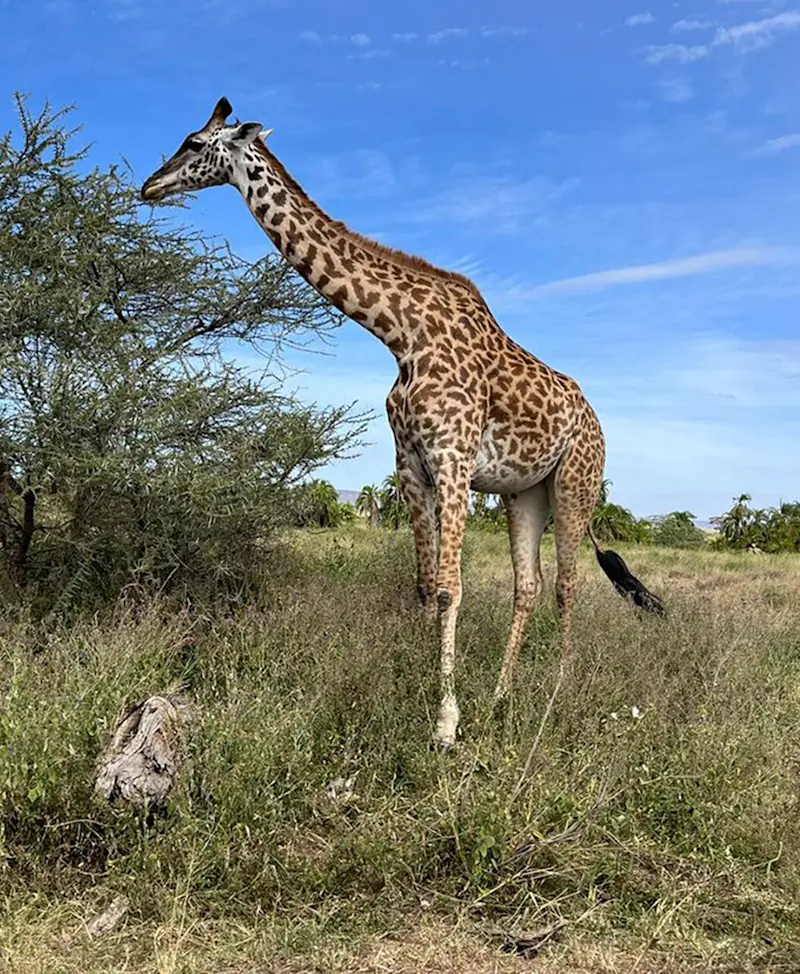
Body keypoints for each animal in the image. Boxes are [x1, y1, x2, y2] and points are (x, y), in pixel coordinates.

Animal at [141, 98, 657, 750]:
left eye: (191, 142)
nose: (148, 185)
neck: (399, 334)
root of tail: (595, 420)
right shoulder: (409, 465)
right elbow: (423, 585)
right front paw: (419, 691)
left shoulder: (453, 459)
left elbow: (450, 586)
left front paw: (445, 724)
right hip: (525, 493)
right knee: (530, 586)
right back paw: (501, 696)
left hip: (576, 486)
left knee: (567, 585)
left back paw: (556, 692)